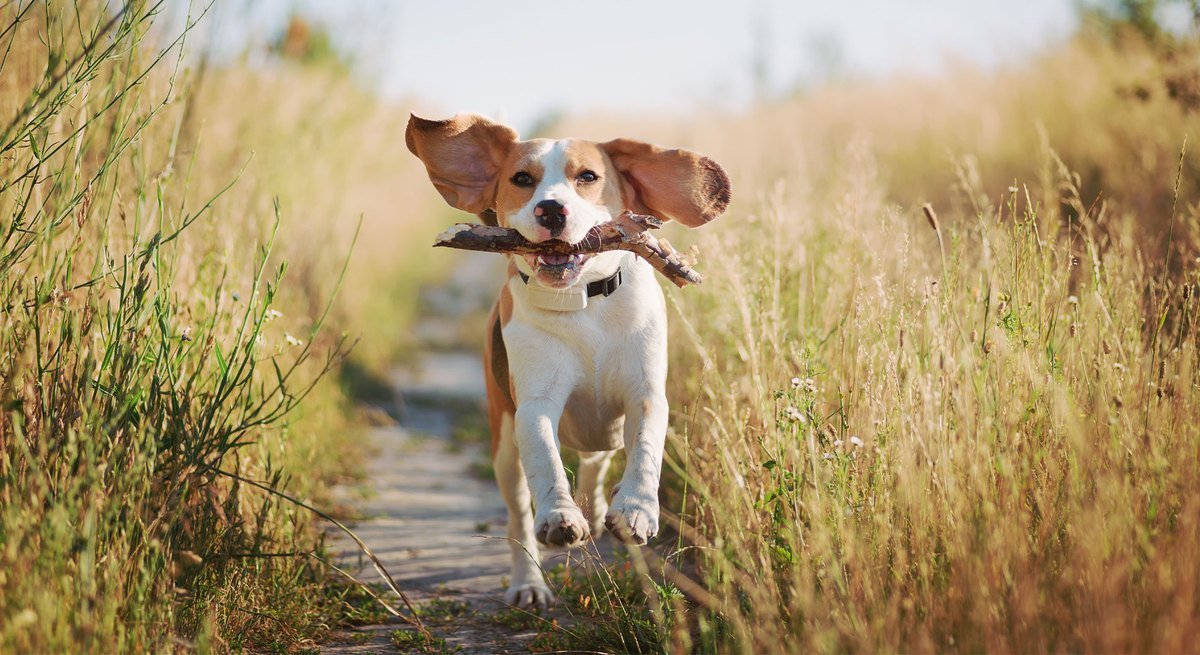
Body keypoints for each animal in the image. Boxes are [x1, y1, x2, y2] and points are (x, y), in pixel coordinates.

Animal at [405, 112, 729, 607]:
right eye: (522, 179)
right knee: (518, 515)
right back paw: (529, 582)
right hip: (504, 447)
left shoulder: (645, 394)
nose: (551, 211)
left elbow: (647, 448)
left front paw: (635, 509)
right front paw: (560, 516)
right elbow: (545, 459)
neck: (582, 303)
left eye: (588, 177)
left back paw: (599, 512)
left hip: (601, 432)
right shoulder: (535, 405)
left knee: (597, 463)